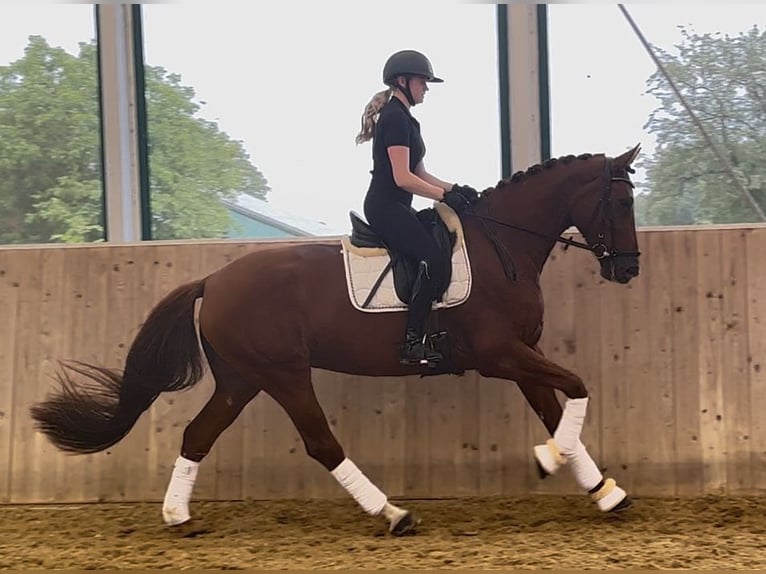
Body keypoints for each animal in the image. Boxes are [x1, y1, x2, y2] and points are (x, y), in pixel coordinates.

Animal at [30, 146, 640, 536]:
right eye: (621, 203)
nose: (628, 268)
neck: (502, 248)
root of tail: (213, 281)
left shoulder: (520, 355)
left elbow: (556, 409)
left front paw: (600, 489)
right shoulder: (501, 355)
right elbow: (577, 387)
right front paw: (550, 460)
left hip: (241, 379)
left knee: (198, 434)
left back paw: (178, 518)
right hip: (283, 374)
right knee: (321, 443)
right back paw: (393, 515)